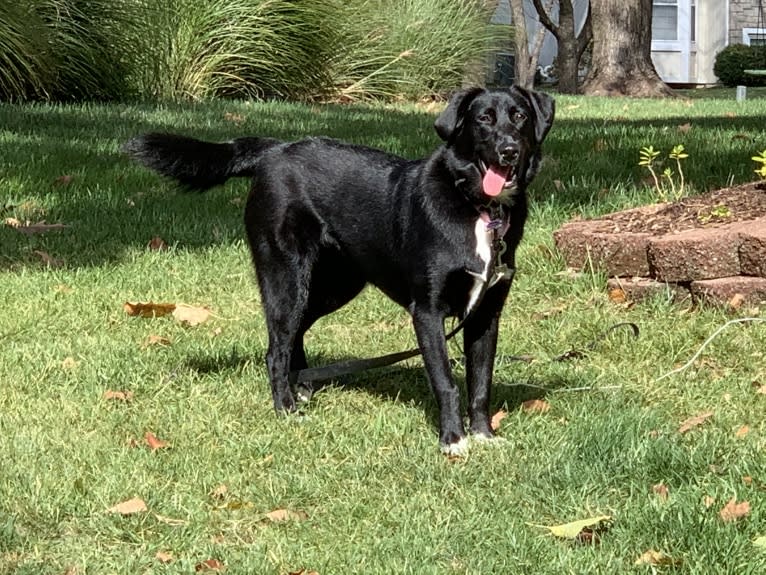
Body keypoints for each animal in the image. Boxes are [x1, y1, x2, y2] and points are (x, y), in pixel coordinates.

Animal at [127, 85, 560, 454]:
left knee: (295, 334)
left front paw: (484, 436)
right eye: (483, 118)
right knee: (276, 346)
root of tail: (274, 149)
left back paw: (301, 388)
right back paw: (286, 407)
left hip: (335, 285)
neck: (478, 208)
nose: (508, 150)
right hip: (286, 277)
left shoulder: (486, 316)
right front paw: (453, 441)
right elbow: (447, 383)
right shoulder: (427, 313)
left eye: (520, 116)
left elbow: (480, 381)